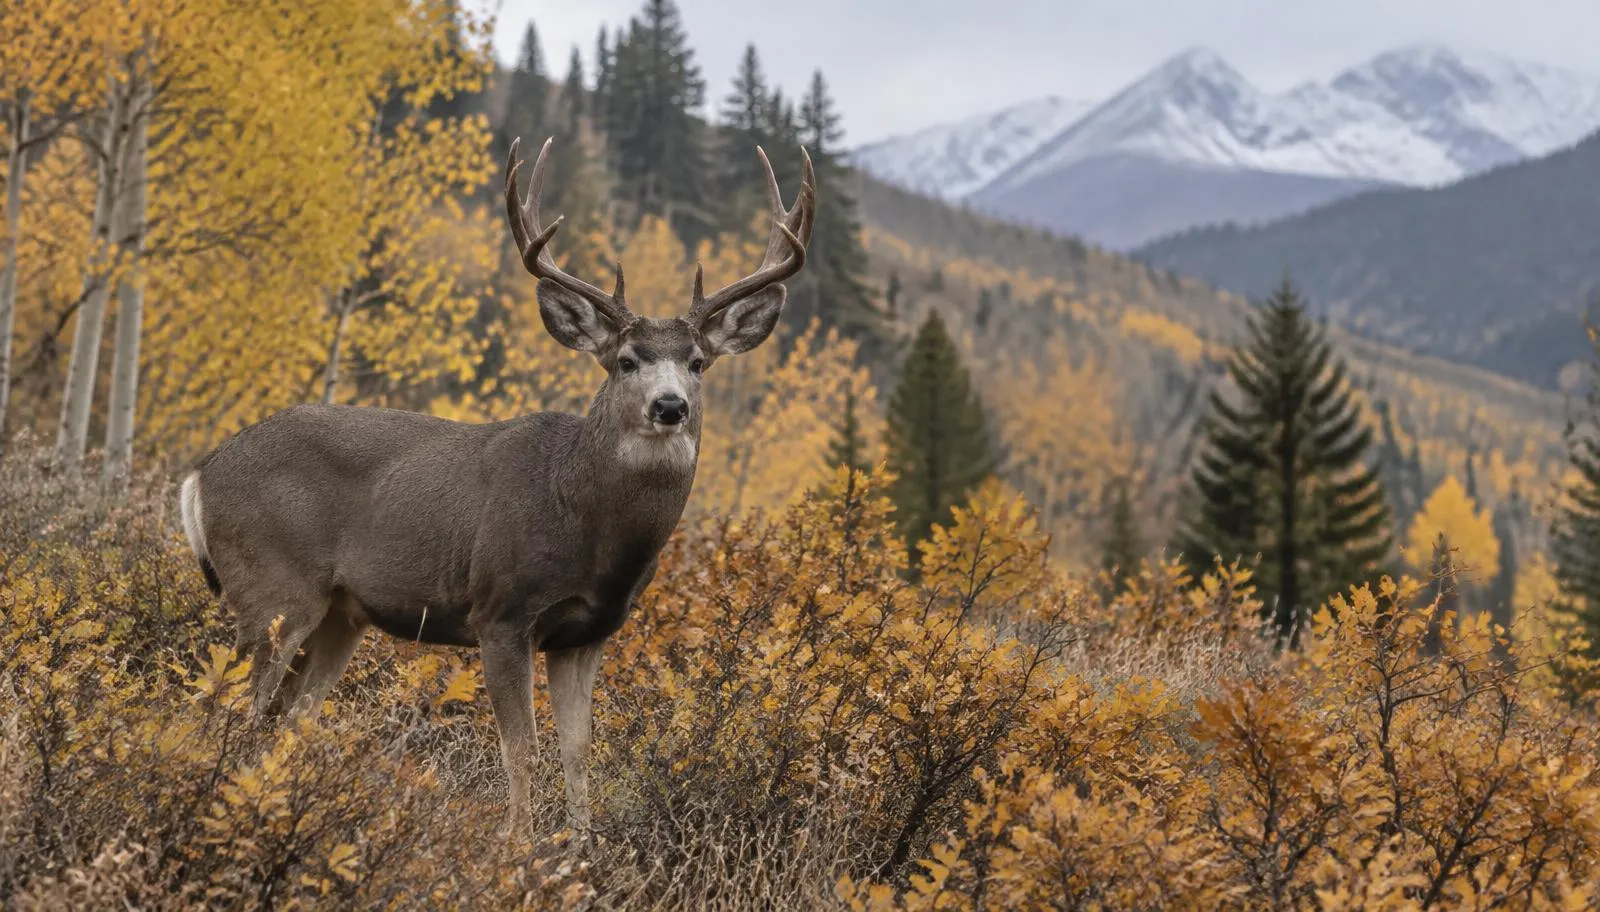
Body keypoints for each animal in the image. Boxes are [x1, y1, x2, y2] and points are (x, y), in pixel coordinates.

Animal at [177, 135, 815, 837]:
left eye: (698, 362)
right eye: (625, 362)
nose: (669, 405)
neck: (589, 530)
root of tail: (200, 471)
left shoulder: (588, 633)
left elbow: (578, 749)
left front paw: (580, 844)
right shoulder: (501, 610)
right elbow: (522, 748)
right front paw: (518, 843)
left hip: (341, 613)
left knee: (288, 714)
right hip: (273, 587)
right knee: (229, 701)